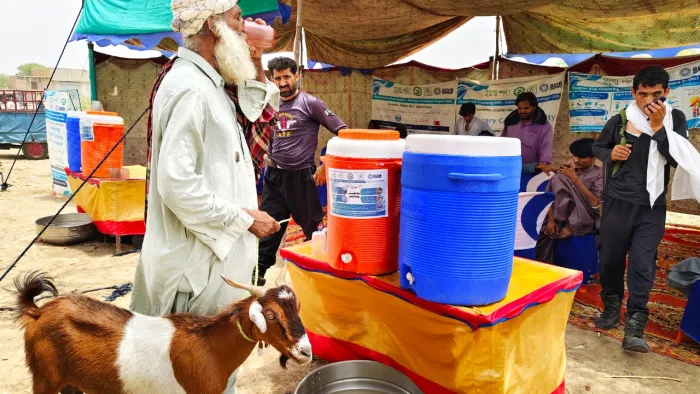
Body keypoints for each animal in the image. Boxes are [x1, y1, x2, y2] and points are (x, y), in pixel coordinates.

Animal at [13, 268, 312, 394]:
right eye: (271, 315)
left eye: (298, 306)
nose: (306, 352)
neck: (210, 348)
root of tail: (39, 311)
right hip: (44, 378)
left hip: (72, 382)